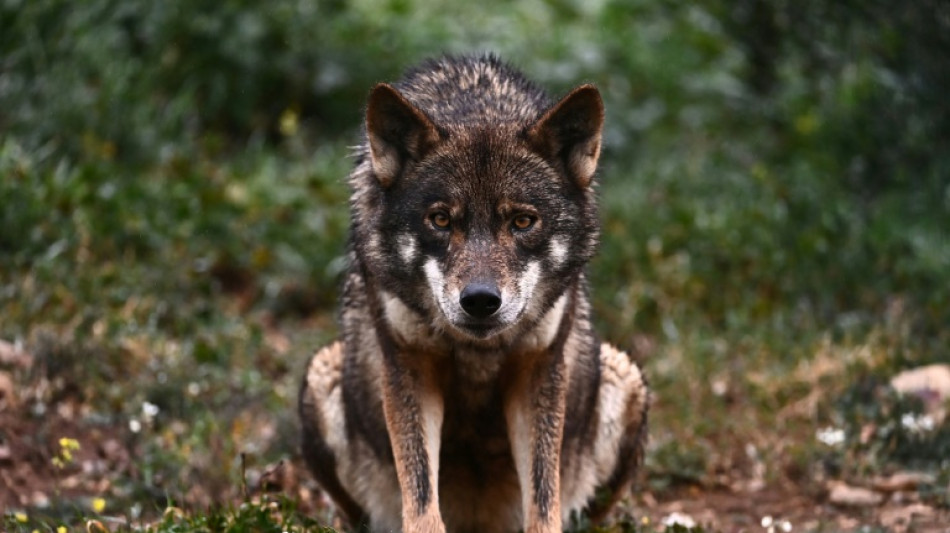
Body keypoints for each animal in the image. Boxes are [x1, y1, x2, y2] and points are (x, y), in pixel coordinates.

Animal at [299, 54, 649, 533]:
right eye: (441, 220)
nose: (480, 300)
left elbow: (543, 496)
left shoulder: (538, 366)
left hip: (625, 377)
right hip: (319, 379)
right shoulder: (408, 363)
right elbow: (420, 493)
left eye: (522, 222)